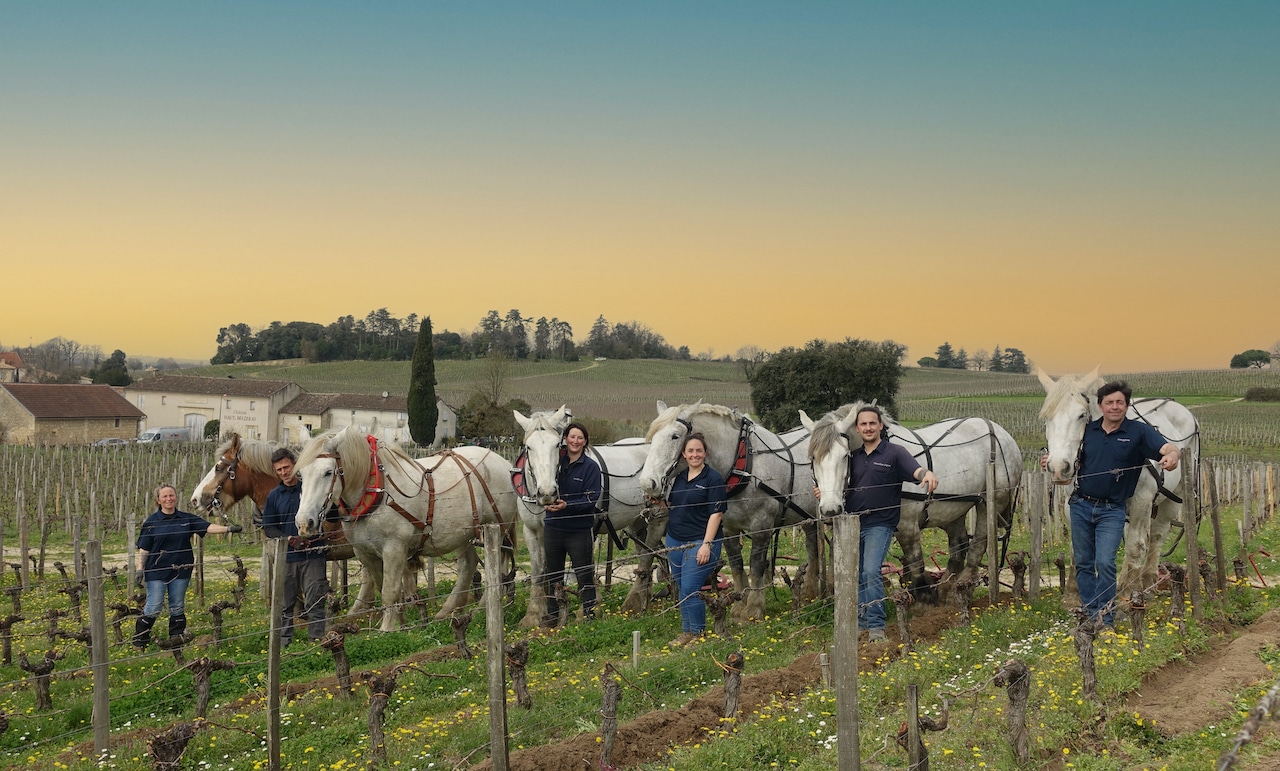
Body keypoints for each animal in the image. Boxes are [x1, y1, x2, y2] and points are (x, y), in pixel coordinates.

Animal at [296, 425, 517, 630]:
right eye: (301, 474)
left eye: (328, 472)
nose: (304, 522)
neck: (376, 491)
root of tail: (505, 463)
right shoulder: (365, 553)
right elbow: (383, 587)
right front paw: (400, 623)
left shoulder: (393, 548)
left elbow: (390, 591)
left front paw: (387, 628)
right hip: (465, 534)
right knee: (468, 565)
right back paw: (447, 611)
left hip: (496, 530)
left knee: (495, 569)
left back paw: (483, 608)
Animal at [509, 404, 670, 627]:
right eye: (528, 447)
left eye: (557, 445)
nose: (548, 493)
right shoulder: (531, 531)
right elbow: (539, 572)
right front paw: (534, 616)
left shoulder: (589, 529)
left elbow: (586, 567)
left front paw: (591, 609)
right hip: (638, 521)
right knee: (646, 551)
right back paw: (643, 598)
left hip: (657, 515)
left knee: (648, 554)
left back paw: (635, 601)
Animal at [1039, 368, 1198, 604]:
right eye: (1047, 417)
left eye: (1081, 415)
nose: (1058, 467)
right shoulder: (1071, 503)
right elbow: (1078, 546)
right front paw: (1073, 595)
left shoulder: (1142, 500)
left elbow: (1135, 546)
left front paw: (1126, 592)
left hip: (1172, 498)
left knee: (1156, 537)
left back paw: (1148, 581)